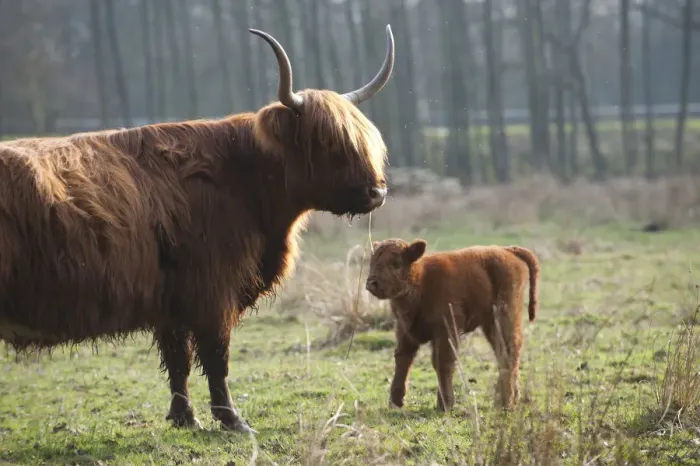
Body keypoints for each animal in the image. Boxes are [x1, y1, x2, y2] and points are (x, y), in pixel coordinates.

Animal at [0, 26, 395, 433]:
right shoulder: (212, 292)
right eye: (326, 142)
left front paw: (184, 418)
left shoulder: (172, 301)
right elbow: (216, 358)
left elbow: (179, 360)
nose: (377, 191)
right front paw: (233, 421)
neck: (242, 180)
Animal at [364, 239, 540, 412]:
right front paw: (395, 402)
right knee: (504, 352)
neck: (421, 279)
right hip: (490, 324)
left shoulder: (446, 331)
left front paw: (445, 404)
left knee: (509, 352)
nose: (371, 283)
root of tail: (507, 250)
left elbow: (442, 363)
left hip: (504, 316)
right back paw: (510, 399)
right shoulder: (405, 331)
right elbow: (402, 361)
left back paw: (503, 401)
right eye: (372, 261)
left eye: (396, 263)